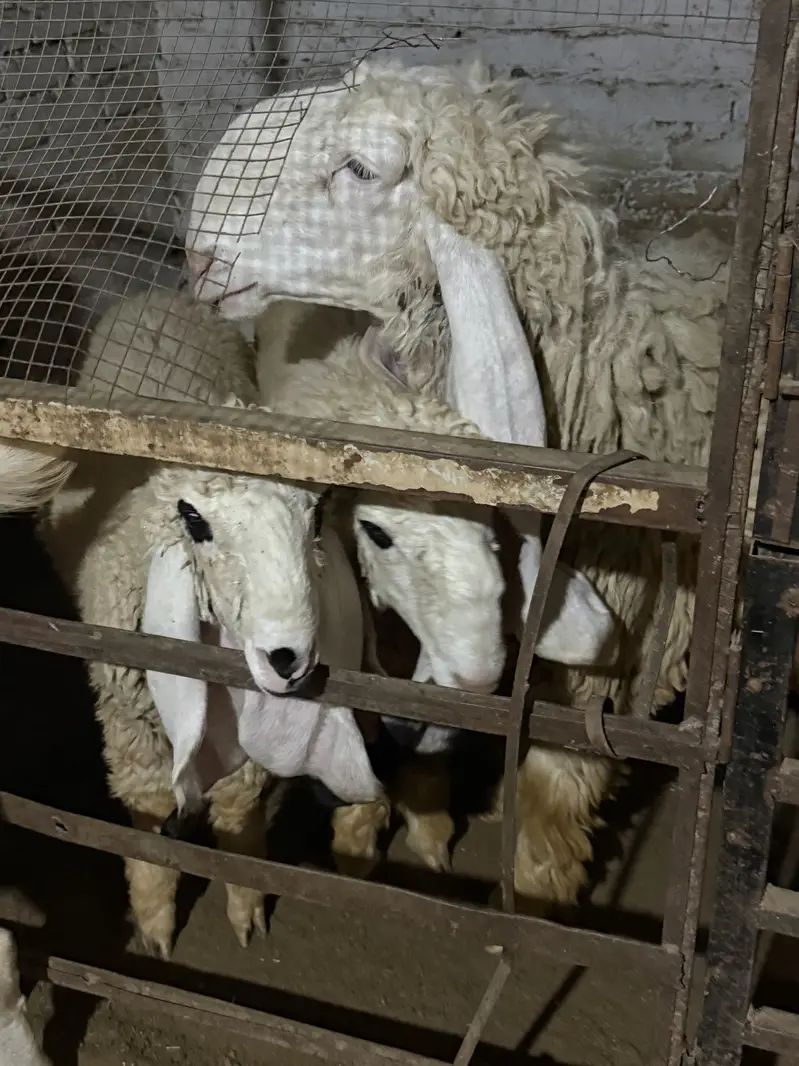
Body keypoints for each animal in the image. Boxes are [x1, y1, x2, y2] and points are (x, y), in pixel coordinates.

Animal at [37, 288, 379, 957]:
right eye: (194, 521)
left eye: (316, 513)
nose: (289, 659)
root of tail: (155, 295)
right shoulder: (132, 730)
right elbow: (146, 821)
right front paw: (153, 925)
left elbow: (239, 819)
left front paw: (245, 907)